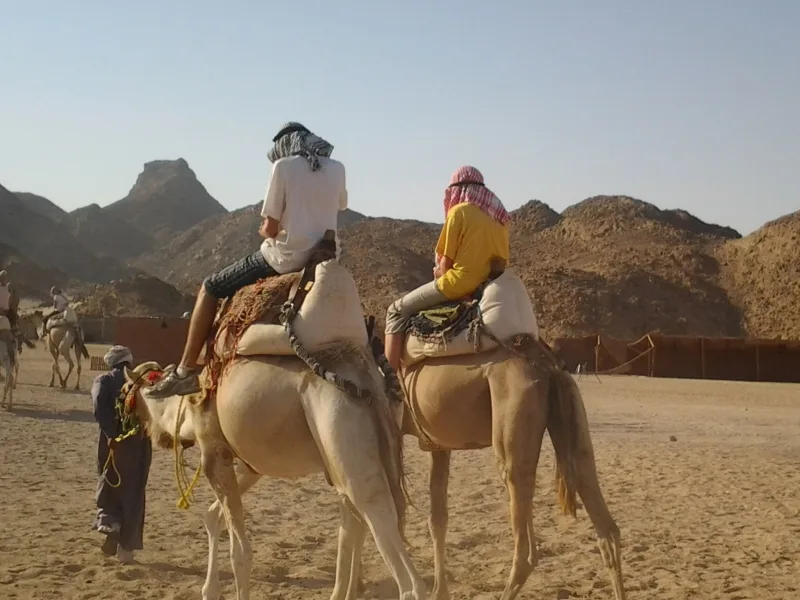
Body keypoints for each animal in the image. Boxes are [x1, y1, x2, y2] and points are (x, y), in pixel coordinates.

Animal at [123, 344, 426, 600]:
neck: (186, 408)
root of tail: (368, 376)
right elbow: (213, 516)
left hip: (343, 434)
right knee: (356, 521)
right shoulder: (251, 466)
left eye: (127, 388)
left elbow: (240, 552)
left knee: (379, 518)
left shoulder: (214, 453)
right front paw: (209, 590)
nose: (124, 418)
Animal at [357, 319, 626, 600]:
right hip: (571, 418)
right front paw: (439, 592)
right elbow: (437, 519)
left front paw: (360, 585)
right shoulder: (437, 444)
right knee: (603, 520)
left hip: (512, 422)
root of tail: (548, 365)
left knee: (525, 550)